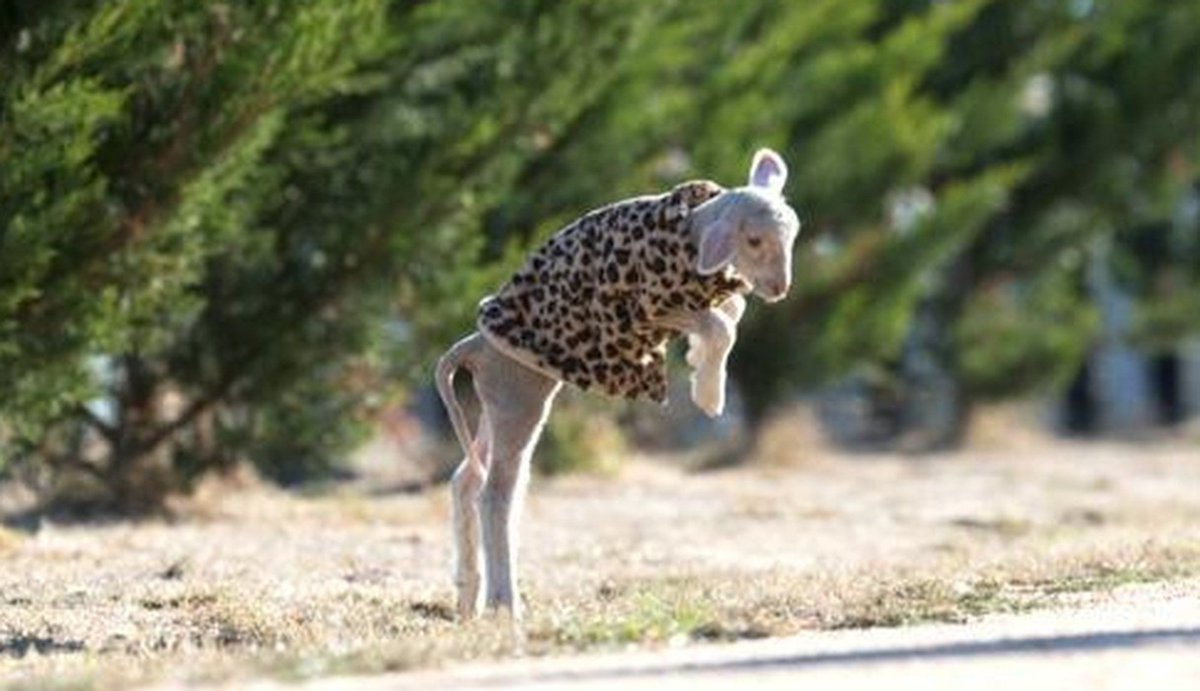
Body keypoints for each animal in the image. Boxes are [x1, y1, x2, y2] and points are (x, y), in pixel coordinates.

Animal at [435, 148, 801, 620]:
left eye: (792, 235)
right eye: (754, 240)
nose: (779, 289)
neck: (692, 232)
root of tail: (475, 344)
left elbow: (730, 313)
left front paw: (699, 364)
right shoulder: (647, 309)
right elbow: (721, 324)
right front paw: (708, 396)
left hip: (498, 398)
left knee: (466, 479)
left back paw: (468, 597)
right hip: (519, 393)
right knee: (494, 492)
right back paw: (506, 605)